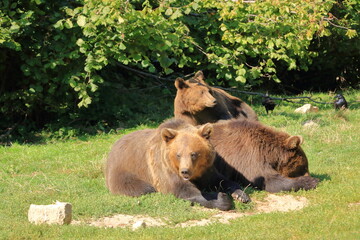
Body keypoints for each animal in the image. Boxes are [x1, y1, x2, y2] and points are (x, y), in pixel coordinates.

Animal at [104, 118, 250, 210]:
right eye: (178, 155)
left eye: (194, 154)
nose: (185, 171)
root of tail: (114, 145)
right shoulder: (165, 169)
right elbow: (184, 190)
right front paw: (222, 198)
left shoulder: (207, 169)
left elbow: (220, 180)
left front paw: (241, 195)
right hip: (125, 172)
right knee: (141, 188)